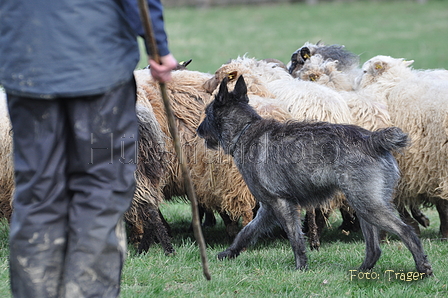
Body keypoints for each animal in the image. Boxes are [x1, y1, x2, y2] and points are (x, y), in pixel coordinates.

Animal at [197, 75, 434, 276]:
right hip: (364, 206)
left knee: (406, 231)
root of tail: (372, 139)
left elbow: (295, 239)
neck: (245, 130)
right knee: (374, 248)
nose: (198, 130)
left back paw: (422, 267)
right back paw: (361, 271)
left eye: (207, 113)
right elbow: (246, 232)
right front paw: (230, 253)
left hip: (369, 206)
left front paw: (300, 266)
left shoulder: (281, 205)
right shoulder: (268, 208)